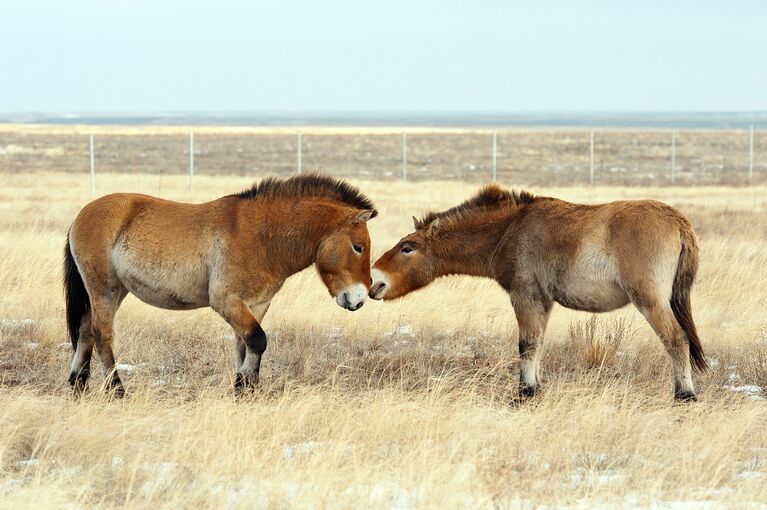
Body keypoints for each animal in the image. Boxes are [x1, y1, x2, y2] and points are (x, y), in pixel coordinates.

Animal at [64, 173, 376, 396]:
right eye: (358, 247)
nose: (360, 299)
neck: (262, 236)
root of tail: (81, 215)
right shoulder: (226, 300)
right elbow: (257, 340)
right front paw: (245, 387)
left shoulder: (256, 304)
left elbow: (245, 345)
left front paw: (245, 389)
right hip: (105, 290)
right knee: (102, 334)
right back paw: (117, 390)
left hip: (113, 292)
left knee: (85, 330)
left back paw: (77, 385)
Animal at [370, 185, 708, 400]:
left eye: (407, 247)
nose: (374, 279)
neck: (510, 229)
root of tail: (679, 222)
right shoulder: (544, 302)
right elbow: (538, 344)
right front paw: (534, 387)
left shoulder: (525, 297)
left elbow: (527, 344)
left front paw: (526, 392)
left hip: (650, 301)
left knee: (676, 339)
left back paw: (685, 395)